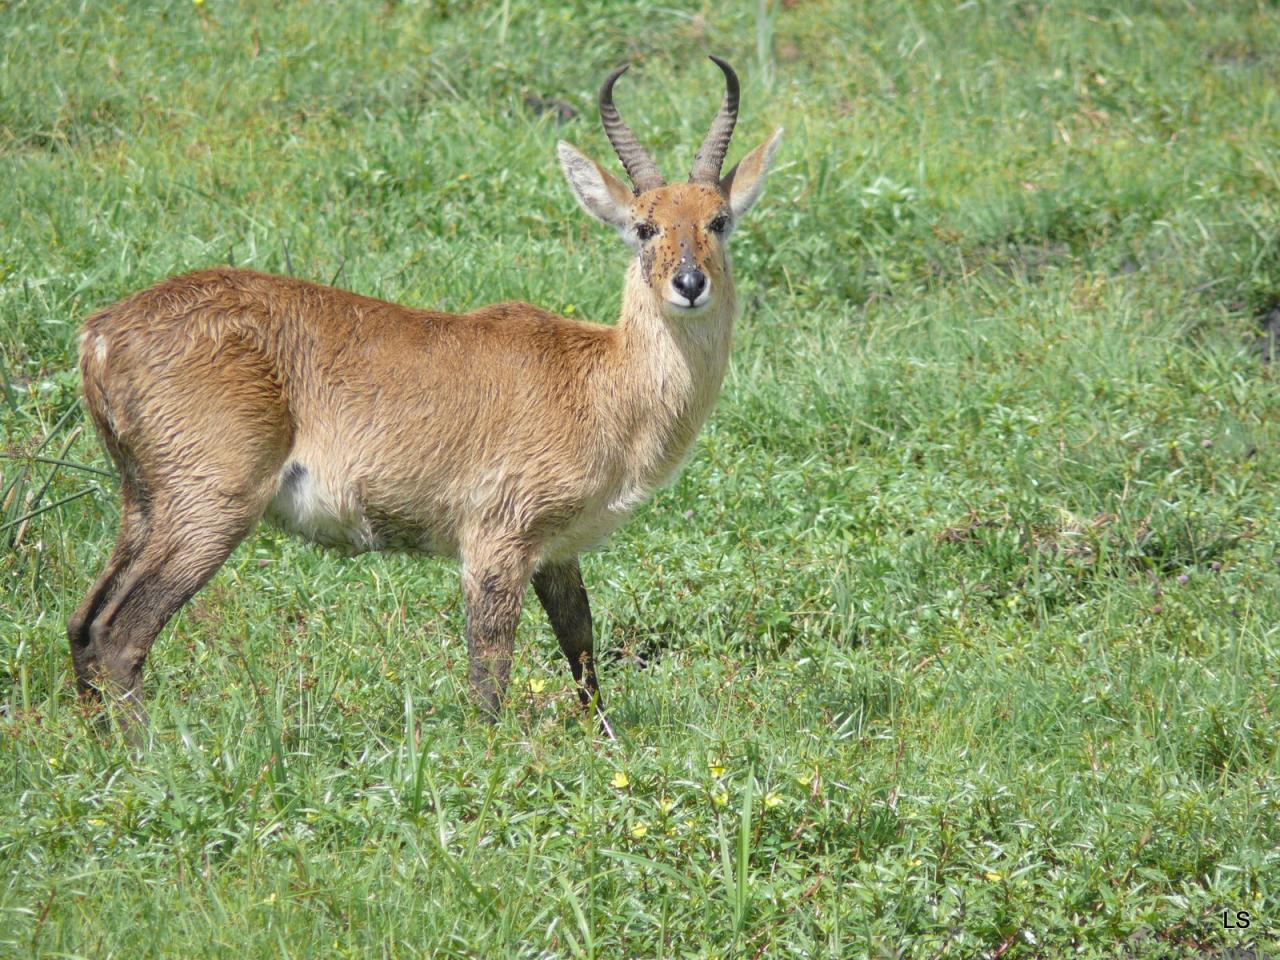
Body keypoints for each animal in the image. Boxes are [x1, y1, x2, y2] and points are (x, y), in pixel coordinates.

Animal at [67, 58, 778, 737]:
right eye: (643, 227)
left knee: (83, 624)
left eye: (718, 220)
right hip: (211, 507)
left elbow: (581, 648)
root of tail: (101, 331)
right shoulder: (496, 541)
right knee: (120, 633)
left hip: (145, 501)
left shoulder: (558, 550)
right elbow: (489, 669)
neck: (599, 382)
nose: (689, 283)